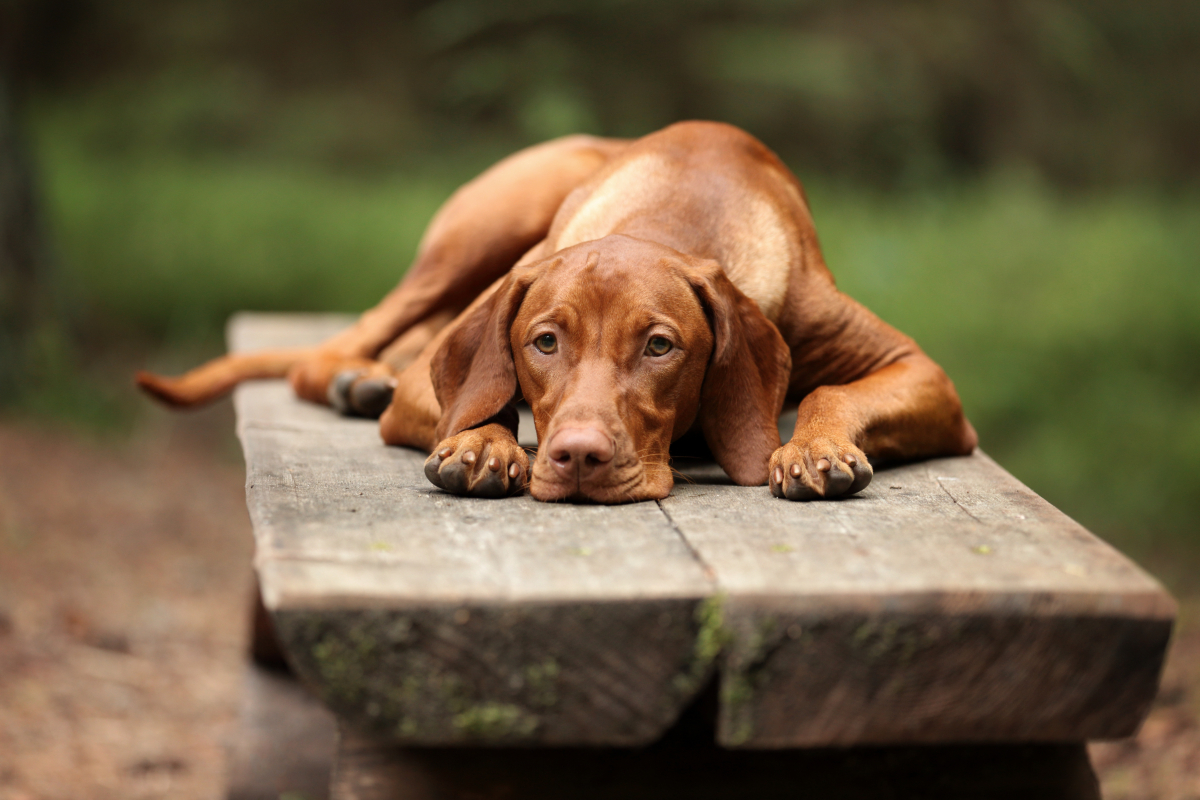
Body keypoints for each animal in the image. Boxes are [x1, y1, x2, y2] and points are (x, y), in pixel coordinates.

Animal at [138, 122, 974, 503]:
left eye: (661, 347)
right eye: (543, 342)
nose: (575, 458)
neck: (678, 215)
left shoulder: (922, 371)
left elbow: (832, 389)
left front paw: (812, 446)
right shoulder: (449, 371)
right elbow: (477, 403)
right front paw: (486, 445)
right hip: (485, 229)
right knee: (342, 346)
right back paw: (358, 380)